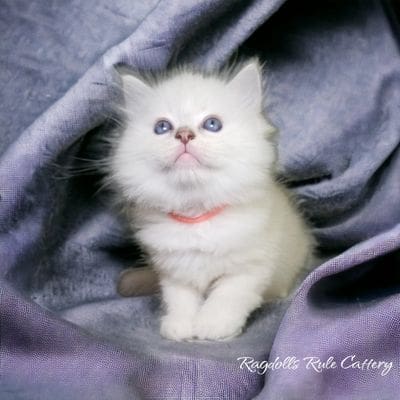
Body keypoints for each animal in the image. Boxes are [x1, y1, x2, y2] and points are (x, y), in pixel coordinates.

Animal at [108, 61, 312, 342]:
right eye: (162, 127)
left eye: (212, 124)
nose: (184, 134)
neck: (196, 215)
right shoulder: (174, 272)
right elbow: (180, 299)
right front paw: (180, 326)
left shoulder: (248, 269)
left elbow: (226, 297)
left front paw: (212, 327)